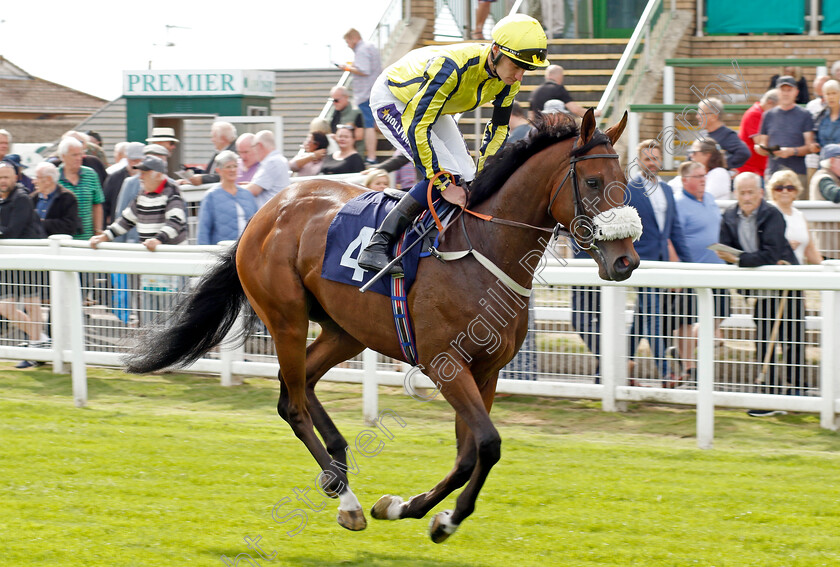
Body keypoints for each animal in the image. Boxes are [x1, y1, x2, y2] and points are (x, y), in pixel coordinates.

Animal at [124, 108, 640, 544]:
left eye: (626, 184)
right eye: (593, 181)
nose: (626, 261)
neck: (483, 249)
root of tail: (266, 211)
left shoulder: (486, 371)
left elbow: (469, 452)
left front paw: (424, 512)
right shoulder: (445, 364)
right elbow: (487, 445)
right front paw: (426, 513)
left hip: (345, 330)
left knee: (299, 386)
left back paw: (338, 467)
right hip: (286, 318)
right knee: (293, 403)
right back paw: (346, 498)